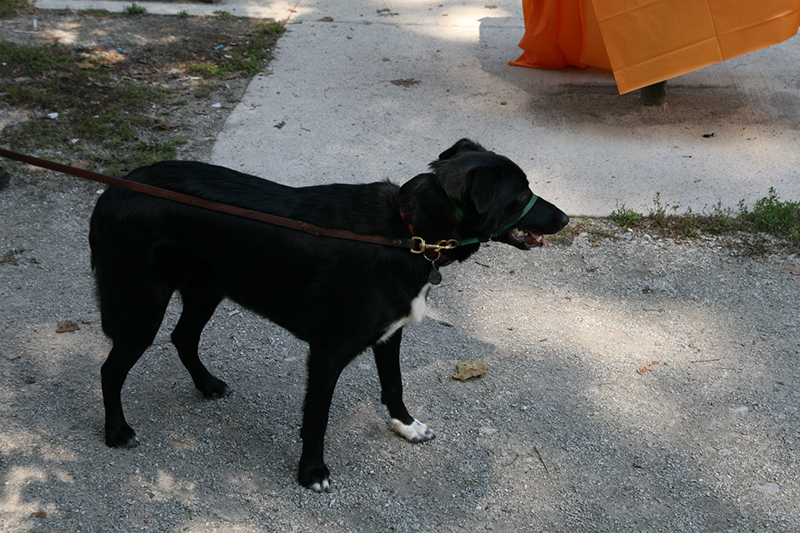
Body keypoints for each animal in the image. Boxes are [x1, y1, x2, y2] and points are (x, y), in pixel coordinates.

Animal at [89, 137, 568, 490]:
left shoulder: (389, 335)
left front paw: (406, 426)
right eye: (521, 194)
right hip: (141, 306)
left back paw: (206, 384)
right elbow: (316, 418)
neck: (406, 231)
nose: (564, 219)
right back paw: (117, 431)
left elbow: (393, 386)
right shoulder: (327, 353)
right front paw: (312, 472)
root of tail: (114, 189)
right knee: (111, 370)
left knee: (183, 338)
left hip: (206, 289)